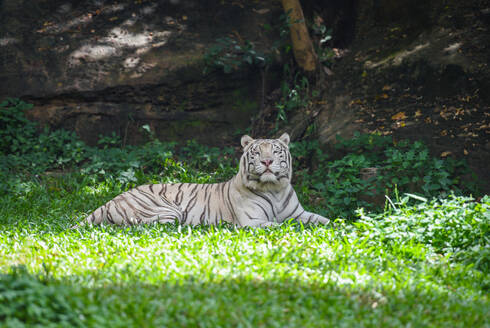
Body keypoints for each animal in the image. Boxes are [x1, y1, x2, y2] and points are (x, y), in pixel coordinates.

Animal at [76, 133, 330, 228]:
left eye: (275, 151)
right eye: (257, 152)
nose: (267, 161)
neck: (274, 189)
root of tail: (111, 200)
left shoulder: (299, 213)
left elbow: (323, 220)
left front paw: (337, 225)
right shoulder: (252, 221)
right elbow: (284, 226)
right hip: (166, 213)